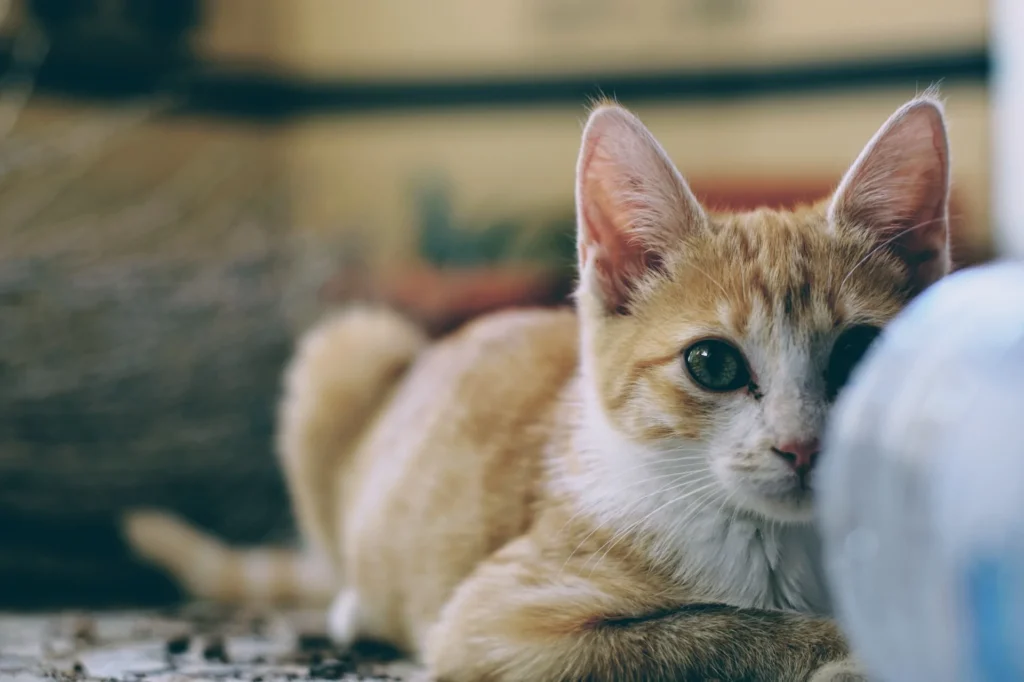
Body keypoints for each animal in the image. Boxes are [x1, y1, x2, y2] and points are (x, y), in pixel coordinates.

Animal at [125, 91, 950, 679]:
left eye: (860, 352)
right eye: (712, 364)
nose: (801, 446)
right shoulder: (497, 625)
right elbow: (702, 631)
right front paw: (846, 648)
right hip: (349, 343)